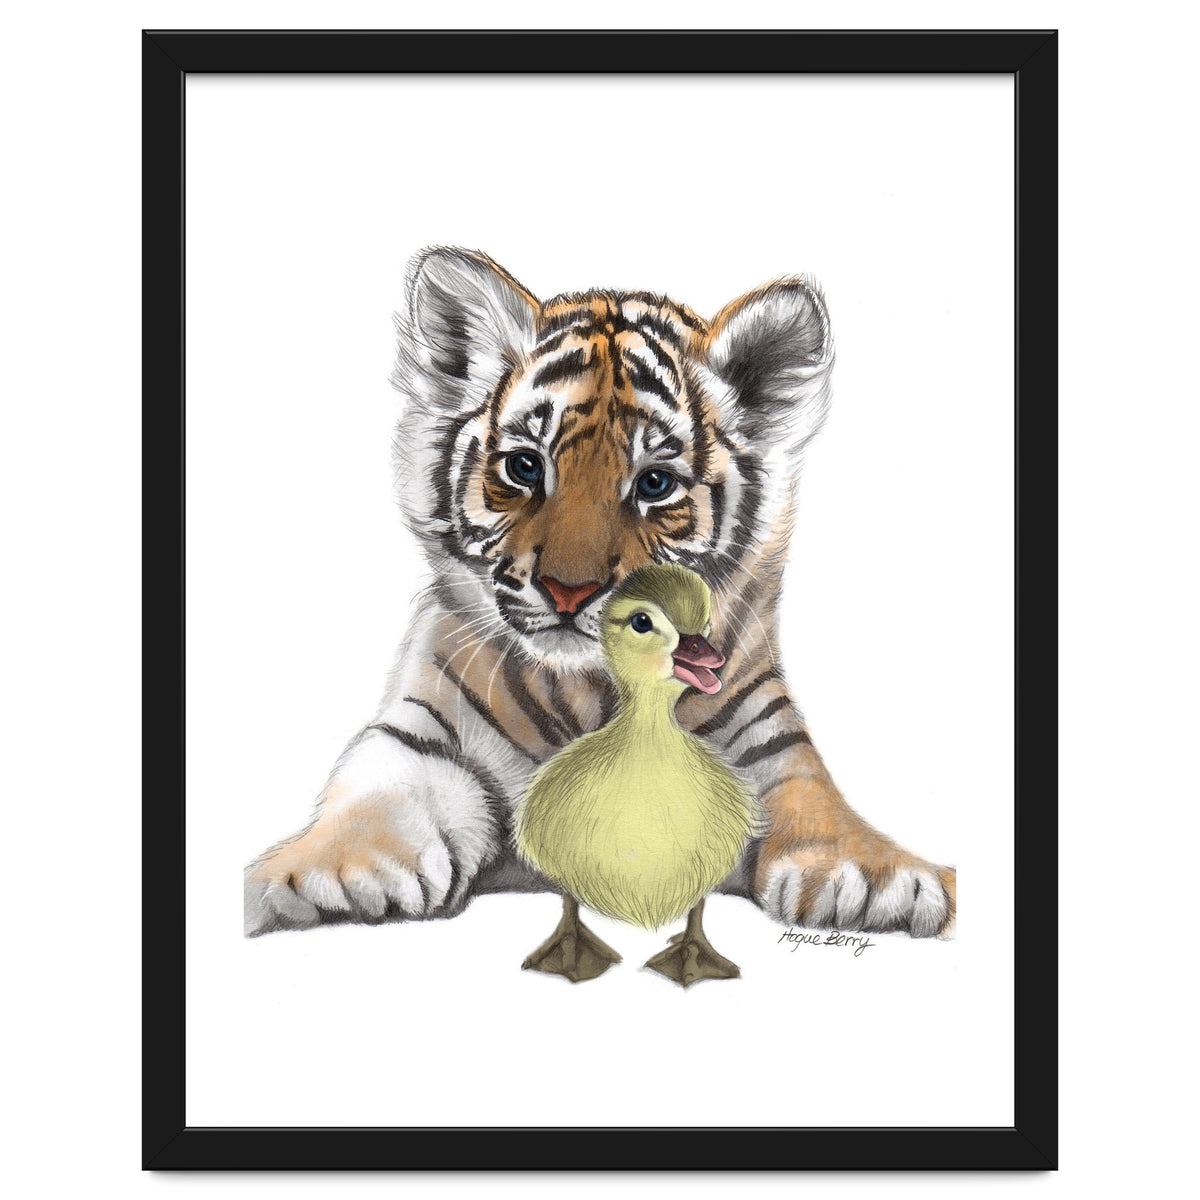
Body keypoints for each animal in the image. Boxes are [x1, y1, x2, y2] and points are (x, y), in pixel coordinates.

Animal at [244, 247, 956, 940]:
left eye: (655, 483)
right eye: (524, 467)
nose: (568, 591)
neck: (588, 690)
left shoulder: (768, 744)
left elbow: (812, 798)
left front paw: (875, 879)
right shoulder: (422, 735)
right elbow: (374, 791)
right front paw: (330, 872)